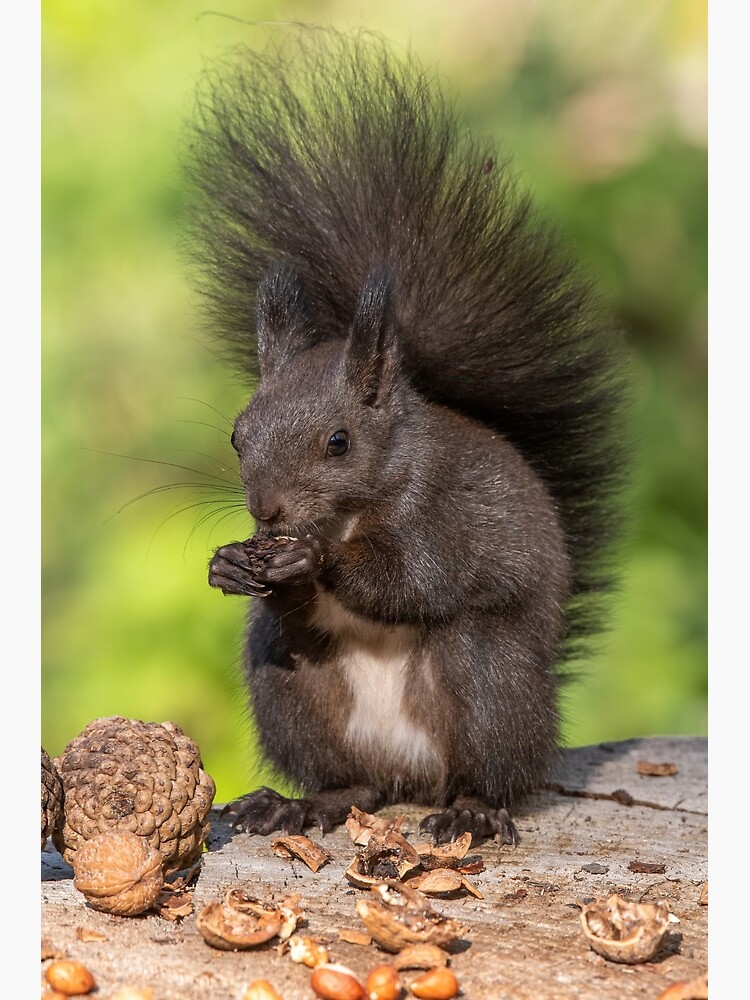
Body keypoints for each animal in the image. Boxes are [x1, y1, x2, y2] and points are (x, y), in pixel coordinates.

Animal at [185, 29, 632, 844]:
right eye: (237, 435)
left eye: (338, 442)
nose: (267, 512)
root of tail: (412, 776)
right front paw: (232, 563)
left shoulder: (440, 512)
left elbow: (414, 580)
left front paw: (317, 560)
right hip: (293, 695)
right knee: (347, 774)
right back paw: (302, 802)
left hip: (486, 678)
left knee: (490, 768)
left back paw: (473, 813)